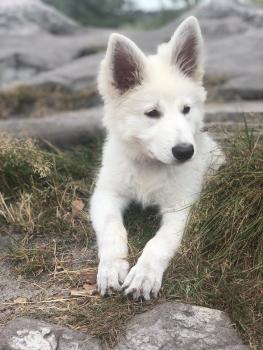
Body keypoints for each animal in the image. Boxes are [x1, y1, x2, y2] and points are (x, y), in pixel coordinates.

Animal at [90, 16, 225, 300]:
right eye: (152, 113)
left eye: (186, 109)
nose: (185, 151)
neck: (150, 165)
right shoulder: (105, 195)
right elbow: (112, 230)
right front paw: (111, 268)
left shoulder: (181, 207)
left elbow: (159, 242)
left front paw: (144, 275)